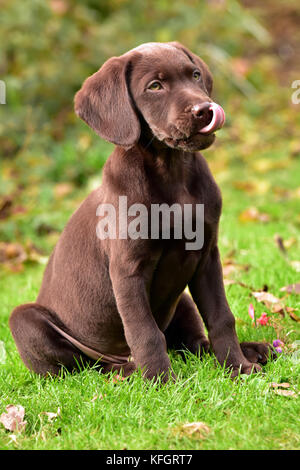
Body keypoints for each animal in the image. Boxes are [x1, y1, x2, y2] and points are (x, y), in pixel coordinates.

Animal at [8, 43, 274, 382]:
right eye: (155, 86)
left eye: (195, 75)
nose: (204, 109)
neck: (172, 171)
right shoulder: (128, 269)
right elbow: (144, 331)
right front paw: (161, 381)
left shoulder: (207, 256)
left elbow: (221, 316)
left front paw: (238, 366)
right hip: (26, 321)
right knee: (87, 367)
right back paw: (130, 371)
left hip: (182, 300)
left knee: (192, 345)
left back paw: (254, 349)